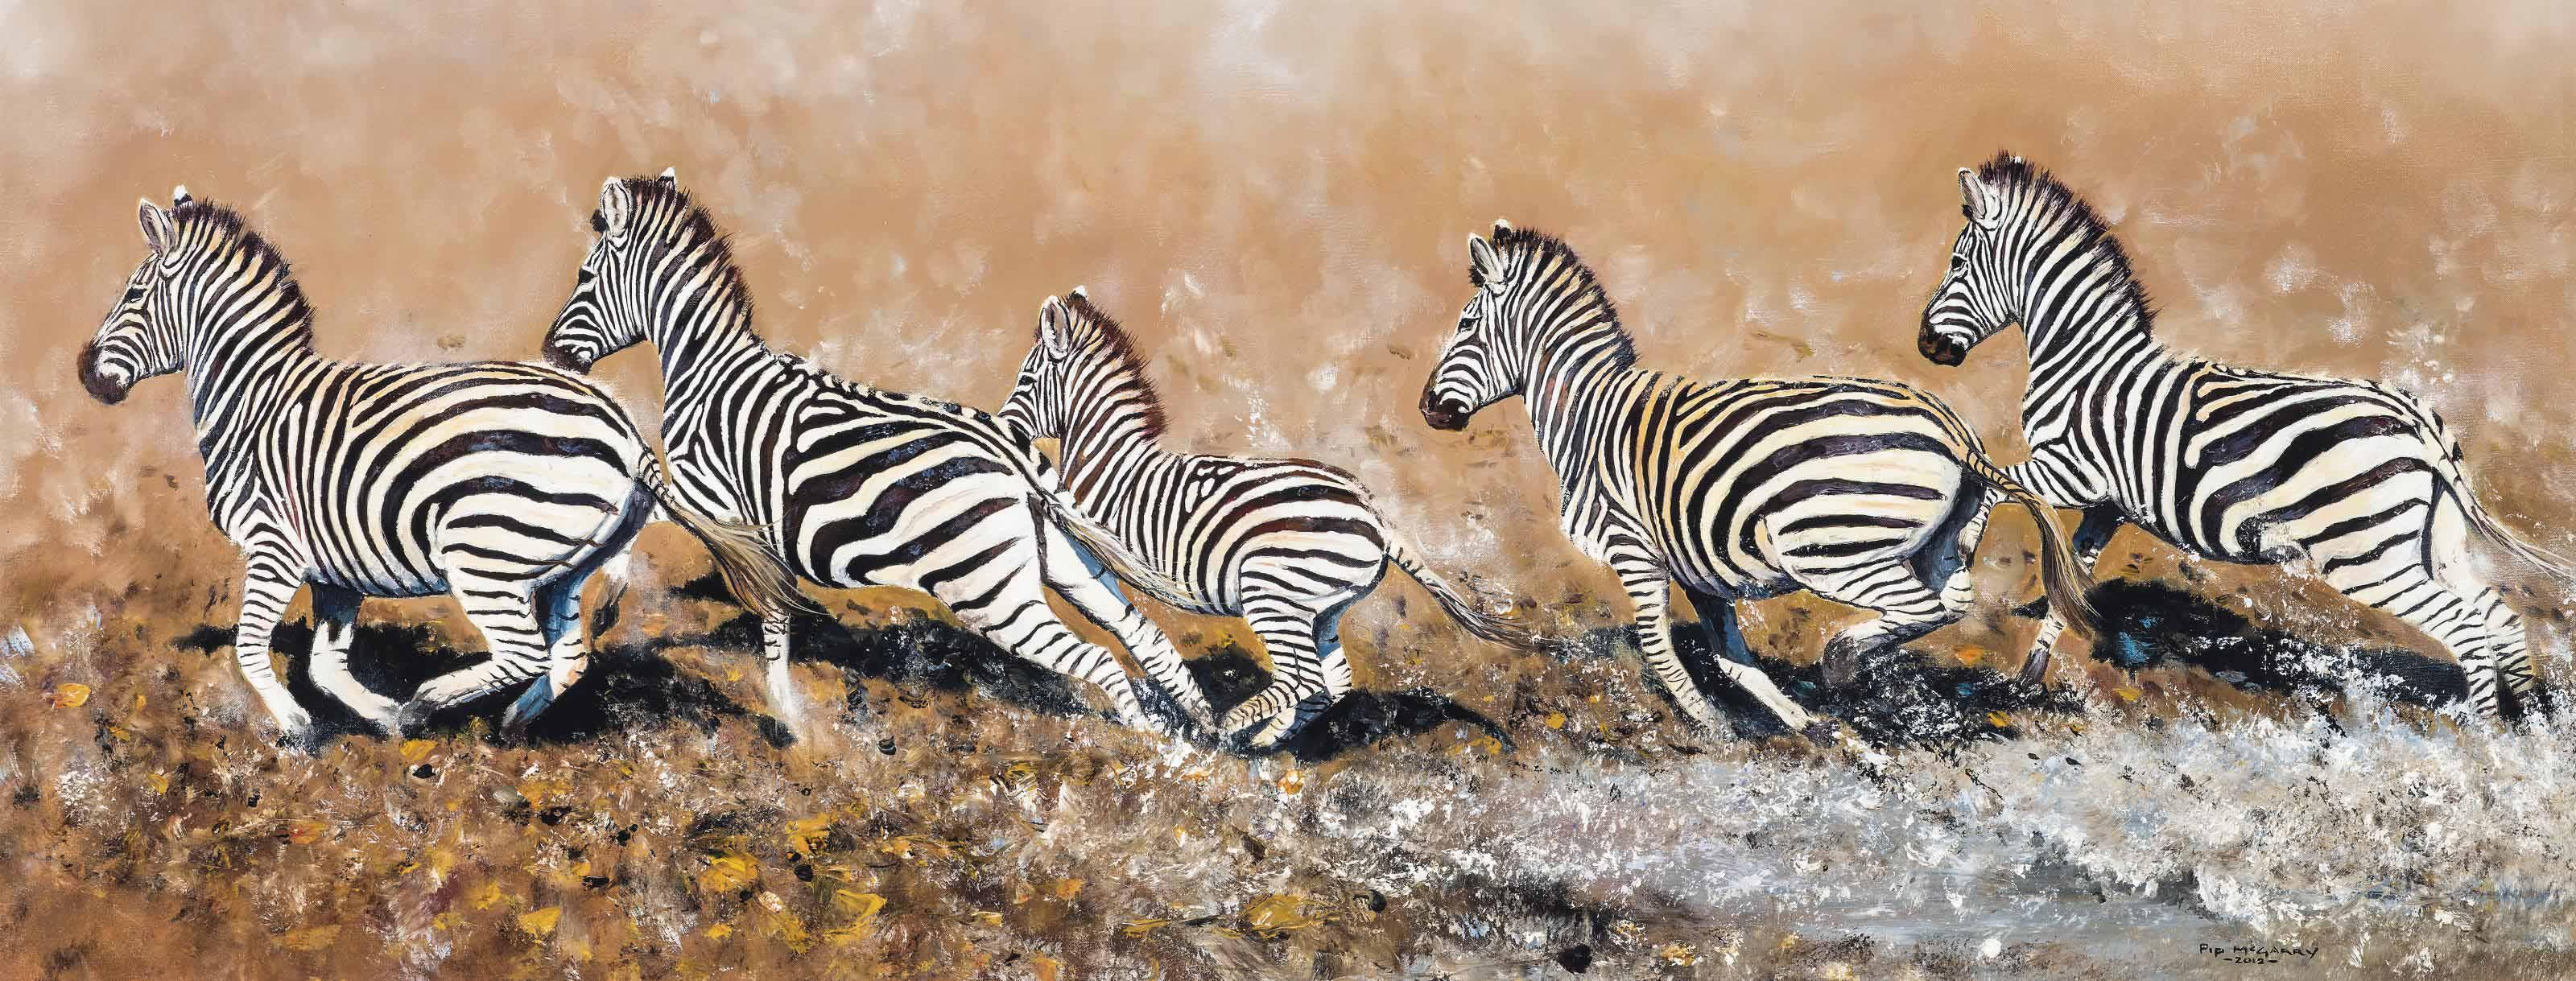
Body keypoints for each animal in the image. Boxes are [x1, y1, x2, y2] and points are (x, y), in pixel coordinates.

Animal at [78, 188, 803, 747]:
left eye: (134, 294)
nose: (86, 374)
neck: (255, 400)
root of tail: (625, 432)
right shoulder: (334, 568)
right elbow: (326, 664)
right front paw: (382, 717)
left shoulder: (274, 546)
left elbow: (252, 647)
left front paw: (299, 729)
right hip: (571, 564)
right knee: (566, 657)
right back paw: (508, 722)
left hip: (483, 552)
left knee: (524, 650)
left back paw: (434, 698)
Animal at [538, 169, 1210, 737]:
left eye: (584, 278)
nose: (551, 354)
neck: (709, 369)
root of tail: (1009, 448)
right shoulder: (739, 516)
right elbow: (765, 602)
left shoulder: (712, 494)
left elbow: (653, 523)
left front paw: (609, 605)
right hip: (1063, 559)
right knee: (1145, 637)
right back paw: (1197, 740)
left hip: (990, 590)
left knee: (1098, 657)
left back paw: (1155, 755)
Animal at [996, 288, 1538, 746]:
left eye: (1025, 379)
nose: (1003, 426)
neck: (1109, 456)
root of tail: (1376, 516)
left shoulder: (1088, 521)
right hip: (1322, 609)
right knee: (1331, 681)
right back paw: (1265, 740)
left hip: (1271, 592)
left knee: (1304, 679)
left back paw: (1231, 726)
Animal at [1420, 220, 2096, 735]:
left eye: (1465, 327)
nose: (1427, 408)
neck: (1588, 416)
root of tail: (1952, 426)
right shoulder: (1698, 569)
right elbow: (1733, 660)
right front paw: (1798, 724)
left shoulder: (1634, 550)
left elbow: (1660, 651)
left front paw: (1714, 730)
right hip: (1942, 541)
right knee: (1952, 601)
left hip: (1830, 549)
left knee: (1917, 606)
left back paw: (1841, 658)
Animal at [1920, 153, 2574, 716]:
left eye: (1957, 265)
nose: (1926, 345)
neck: (2086, 361)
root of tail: (2413, 419)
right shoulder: (2106, 504)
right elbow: (2067, 584)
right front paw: (2027, 677)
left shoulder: (2070, 471)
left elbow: (1988, 477)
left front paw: (1958, 557)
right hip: (2429, 542)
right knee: (2497, 613)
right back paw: (2518, 726)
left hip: (2365, 557)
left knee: (2465, 624)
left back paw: (2480, 737)